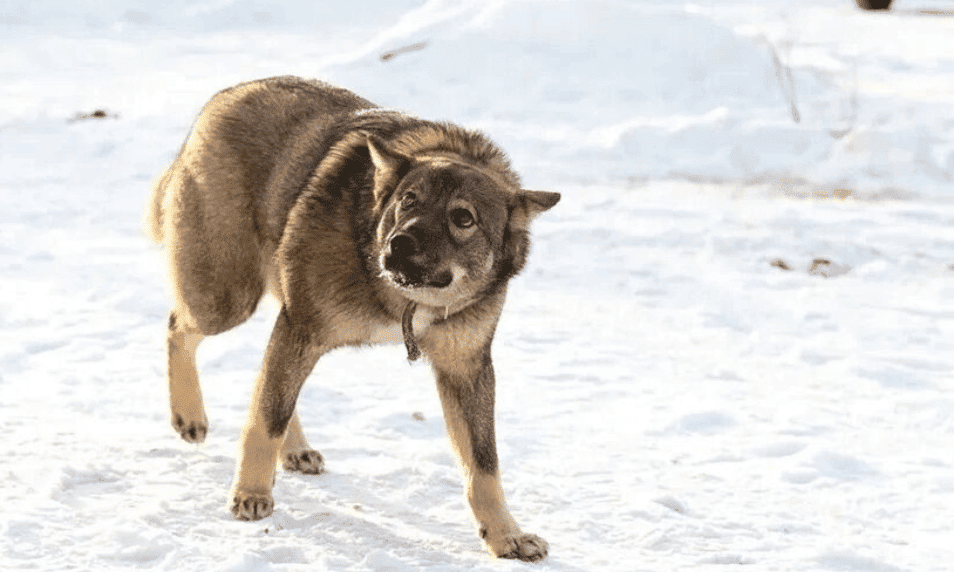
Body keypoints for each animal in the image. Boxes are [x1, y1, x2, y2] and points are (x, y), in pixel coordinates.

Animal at [144, 77, 560, 564]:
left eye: (463, 218)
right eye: (408, 201)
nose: (399, 244)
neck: (406, 303)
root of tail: (224, 95)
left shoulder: (466, 369)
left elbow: (483, 464)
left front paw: (505, 535)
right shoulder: (301, 329)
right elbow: (265, 419)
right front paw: (250, 494)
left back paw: (294, 449)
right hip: (226, 297)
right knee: (179, 327)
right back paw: (189, 416)